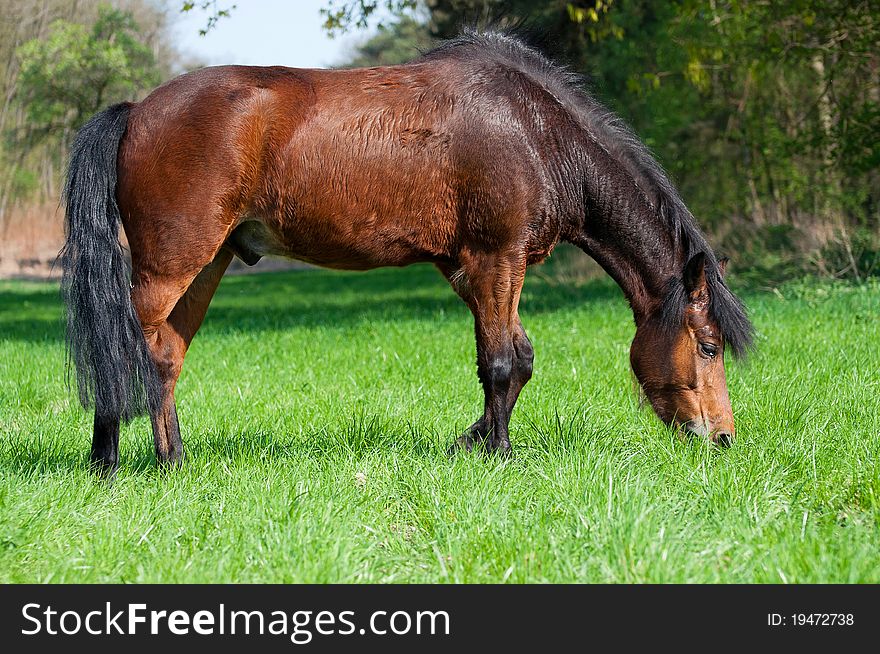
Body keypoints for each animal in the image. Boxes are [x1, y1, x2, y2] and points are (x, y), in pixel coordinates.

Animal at [60, 30, 748, 474]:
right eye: (708, 346)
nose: (722, 439)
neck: (536, 133)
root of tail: (137, 110)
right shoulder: (497, 258)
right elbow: (503, 362)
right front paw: (497, 455)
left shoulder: (471, 269)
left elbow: (516, 358)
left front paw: (468, 443)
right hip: (169, 265)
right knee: (122, 346)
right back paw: (107, 461)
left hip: (207, 264)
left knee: (164, 356)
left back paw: (171, 462)